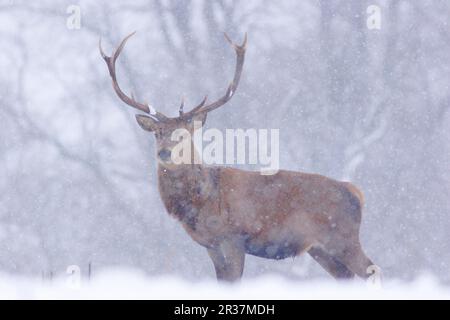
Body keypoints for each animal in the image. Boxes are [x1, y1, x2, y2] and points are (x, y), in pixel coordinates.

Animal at [100, 31, 378, 282]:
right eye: (158, 133)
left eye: (185, 134)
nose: (164, 152)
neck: (202, 201)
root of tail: (356, 192)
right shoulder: (211, 245)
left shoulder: (233, 237)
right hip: (320, 249)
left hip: (343, 237)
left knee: (372, 270)